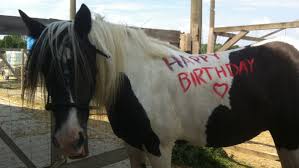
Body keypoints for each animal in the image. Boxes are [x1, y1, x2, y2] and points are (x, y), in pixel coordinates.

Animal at [19, 3, 299, 168]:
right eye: (44, 67)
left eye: (84, 63)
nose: (68, 140)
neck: (137, 81)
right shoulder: (132, 146)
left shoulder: (159, 148)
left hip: (289, 139)